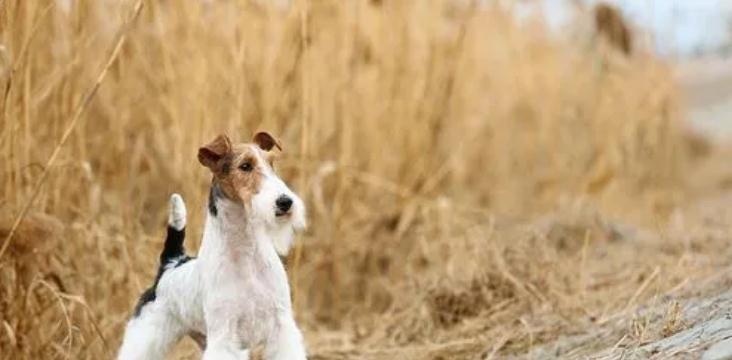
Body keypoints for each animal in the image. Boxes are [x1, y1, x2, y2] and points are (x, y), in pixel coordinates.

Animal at [118, 133, 308, 360]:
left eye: (271, 163)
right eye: (245, 166)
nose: (285, 202)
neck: (246, 254)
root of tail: (171, 263)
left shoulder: (281, 327)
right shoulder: (224, 335)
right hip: (148, 330)